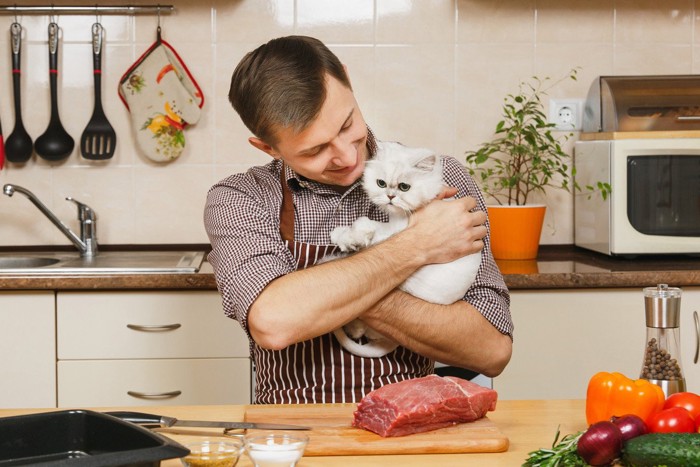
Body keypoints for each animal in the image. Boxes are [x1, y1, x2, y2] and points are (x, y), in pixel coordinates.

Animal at [328, 142, 482, 358]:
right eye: (381, 183)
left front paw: (347, 237)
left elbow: (365, 224)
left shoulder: (395, 229)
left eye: (404, 187)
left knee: (361, 330)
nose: (390, 197)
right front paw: (341, 236)